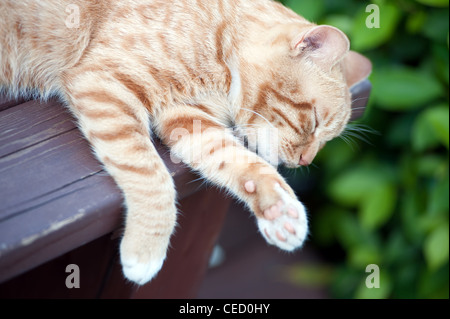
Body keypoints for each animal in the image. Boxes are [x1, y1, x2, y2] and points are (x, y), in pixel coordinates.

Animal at [0, 0, 370, 284]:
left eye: (326, 137)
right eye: (315, 121)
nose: (306, 160)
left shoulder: (191, 121)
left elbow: (245, 164)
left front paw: (279, 210)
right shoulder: (104, 84)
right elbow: (150, 174)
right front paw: (146, 248)